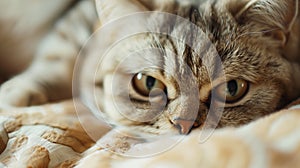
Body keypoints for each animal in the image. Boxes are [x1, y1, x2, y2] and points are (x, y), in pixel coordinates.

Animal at [0, 0, 300, 136]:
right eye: (148, 83)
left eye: (232, 88)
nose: (184, 124)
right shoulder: (77, 17)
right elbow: (58, 56)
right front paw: (19, 93)